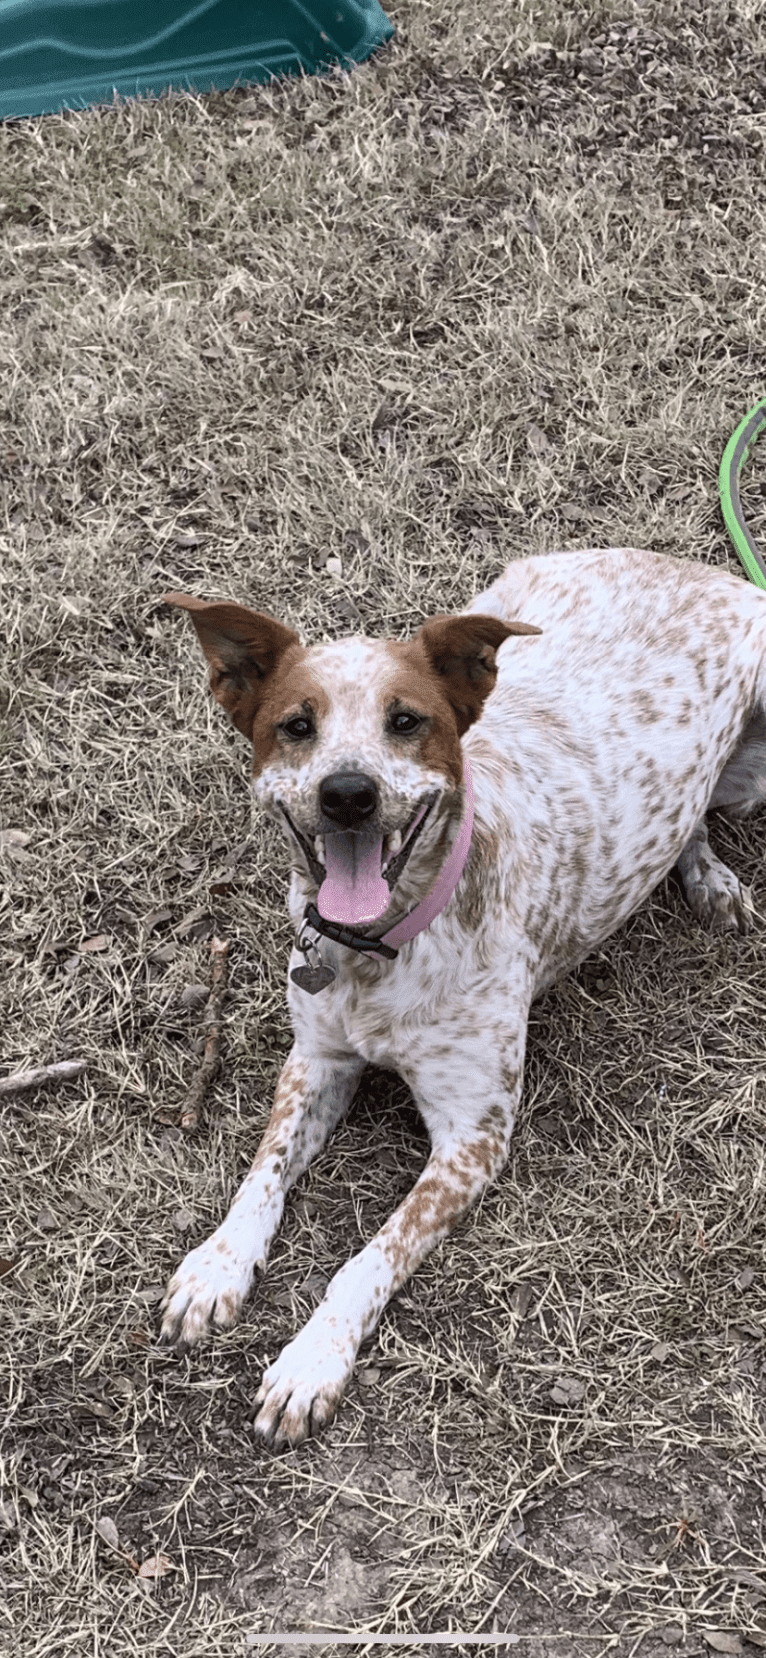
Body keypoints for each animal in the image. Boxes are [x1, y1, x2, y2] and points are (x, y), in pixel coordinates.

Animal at [156, 550, 766, 1445]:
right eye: (297, 726)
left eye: (407, 721)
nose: (347, 792)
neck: (378, 952)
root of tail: (697, 569)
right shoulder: (316, 1062)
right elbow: (260, 1176)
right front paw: (217, 1266)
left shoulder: (472, 1138)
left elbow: (367, 1258)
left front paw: (311, 1361)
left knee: (701, 817)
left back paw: (711, 878)